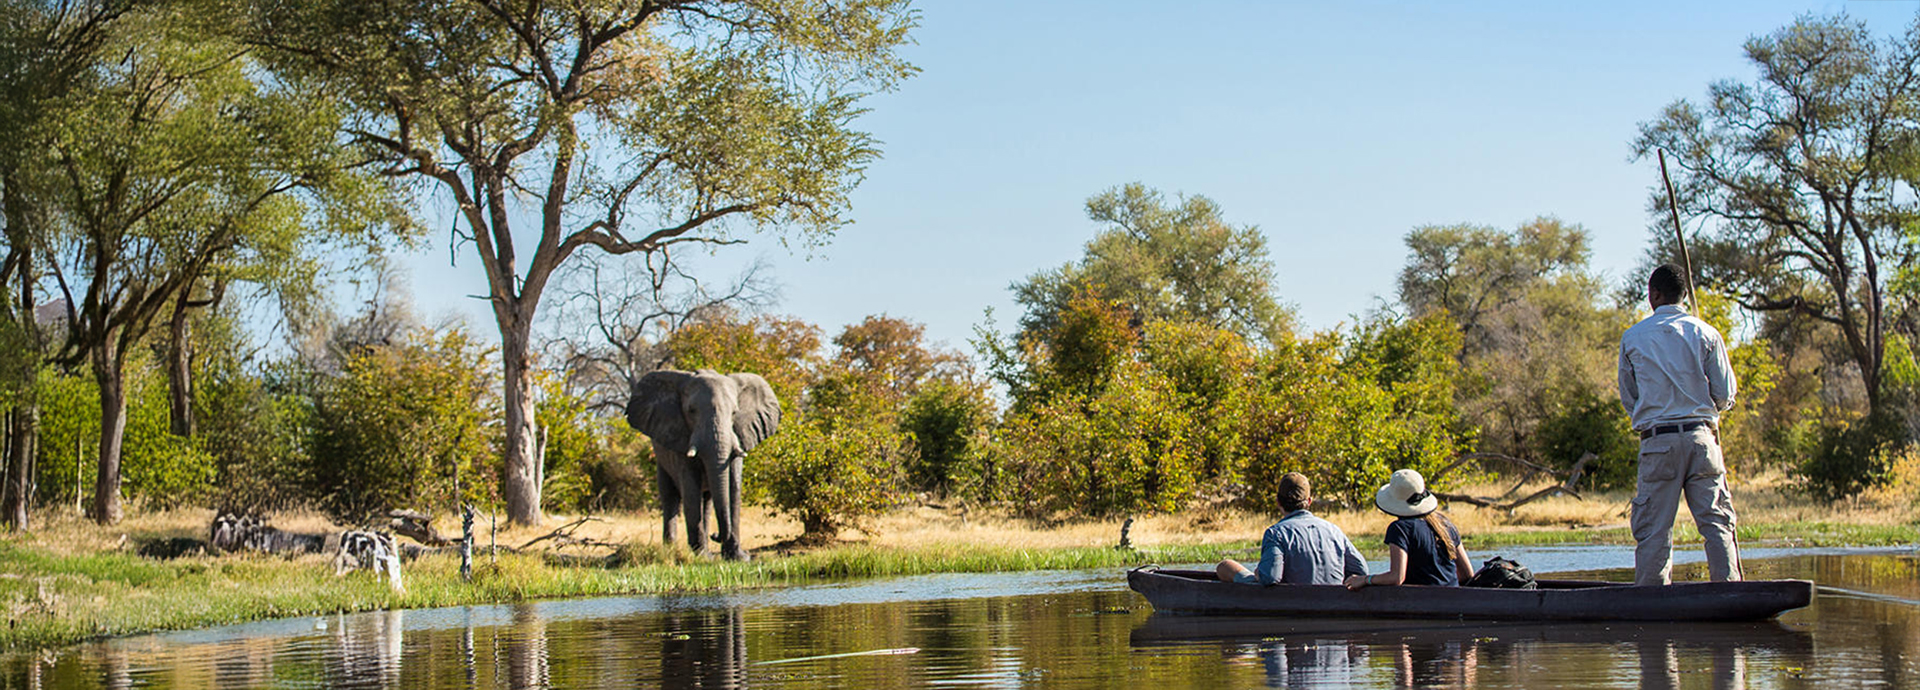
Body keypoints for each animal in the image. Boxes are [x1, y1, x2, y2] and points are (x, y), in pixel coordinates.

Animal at [626, 369, 780, 561]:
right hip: (661, 459)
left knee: (706, 500)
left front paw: (738, 558)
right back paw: (673, 551)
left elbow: (733, 487)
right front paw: (700, 557)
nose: (716, 535)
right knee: (670, 496)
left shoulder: (739, 435)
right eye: (691, 411)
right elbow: (691, 488)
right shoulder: (681, 438)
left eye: (734, 413)